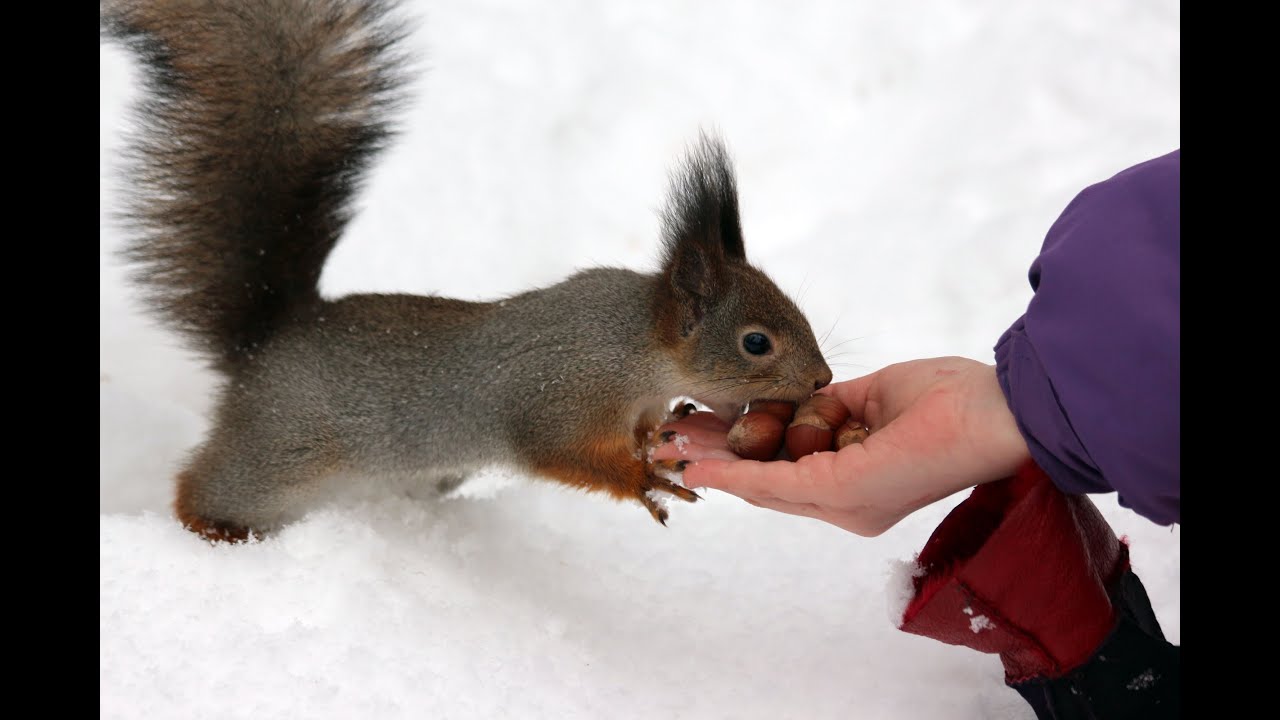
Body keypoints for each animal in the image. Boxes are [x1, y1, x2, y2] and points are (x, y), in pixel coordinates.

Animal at [101, 0, 833, 541]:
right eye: (756, 342)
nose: (823, 380)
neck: (634, 347)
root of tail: (266, 337)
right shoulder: (558, 396)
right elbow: (560, 454)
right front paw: (640, 478)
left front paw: (663, 432)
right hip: (283, 448)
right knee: (209, 486)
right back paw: (212, 529)